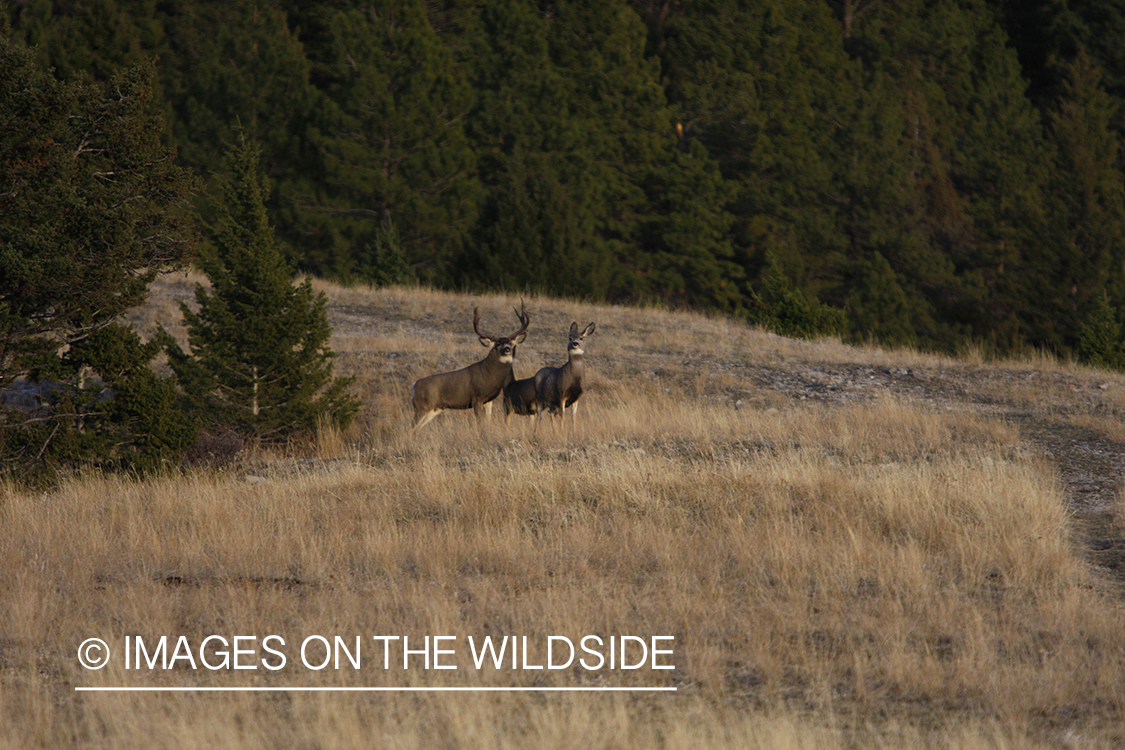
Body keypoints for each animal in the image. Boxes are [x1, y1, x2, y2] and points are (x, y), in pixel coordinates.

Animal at [410, 302, 530, 430]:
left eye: (511, 343)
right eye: (498, 344)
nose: (507, 349)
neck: (489, 374)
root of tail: (413, 386)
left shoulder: (489, 400)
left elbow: (488, 419)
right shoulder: (476, 397)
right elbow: (479, 422)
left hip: (433, 409)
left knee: (416, 429)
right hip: (421, 406)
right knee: (411, 427)